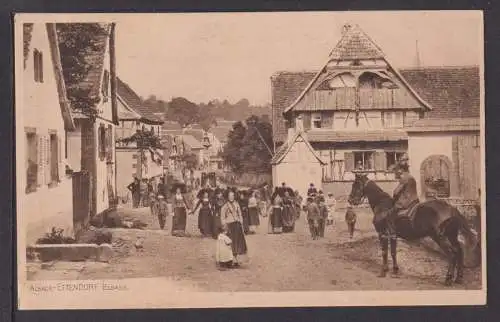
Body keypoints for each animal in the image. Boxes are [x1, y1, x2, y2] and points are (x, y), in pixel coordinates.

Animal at [348, 175, 480, 286]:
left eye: (355, 185)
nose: (350, 200)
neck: (382, 205)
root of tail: (451, 208)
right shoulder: (392, 236)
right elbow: (393, 252)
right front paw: (395, 270)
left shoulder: (383, 234)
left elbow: (385, 252)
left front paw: (383, 271)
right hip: (451, 236)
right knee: (460, 252)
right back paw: (459, 278)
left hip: (440, 237)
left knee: (452, 254)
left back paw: (448, 279)